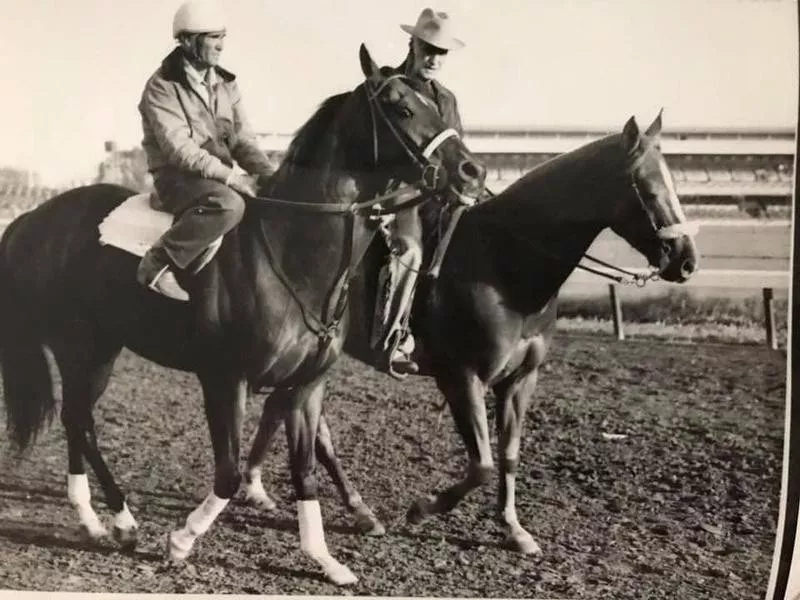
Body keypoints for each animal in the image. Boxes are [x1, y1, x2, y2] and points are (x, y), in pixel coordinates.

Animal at [0, 45, 484, 584]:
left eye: (435, 104)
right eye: (401, 106)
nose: (471, 171)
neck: (290, 250)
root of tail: (32, 218)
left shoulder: (306, 387)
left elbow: (304, 471)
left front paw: (324, 559)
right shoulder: (225, 379)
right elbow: (229, 473)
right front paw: (181, 540)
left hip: (102, 348)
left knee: (75, 417)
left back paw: (93, 521)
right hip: (78, 344)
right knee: (79, 419)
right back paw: (122, 522)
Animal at [245, 113, 700, 556]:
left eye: (675, 183)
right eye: (646, 188)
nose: (687, 261)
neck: (501, 262)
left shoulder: (520, 380)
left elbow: (509, 456)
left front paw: (514, 529)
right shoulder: (462, 377)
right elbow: (481, 464)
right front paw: (422, 509)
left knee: (287, 412)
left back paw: (282, 491)